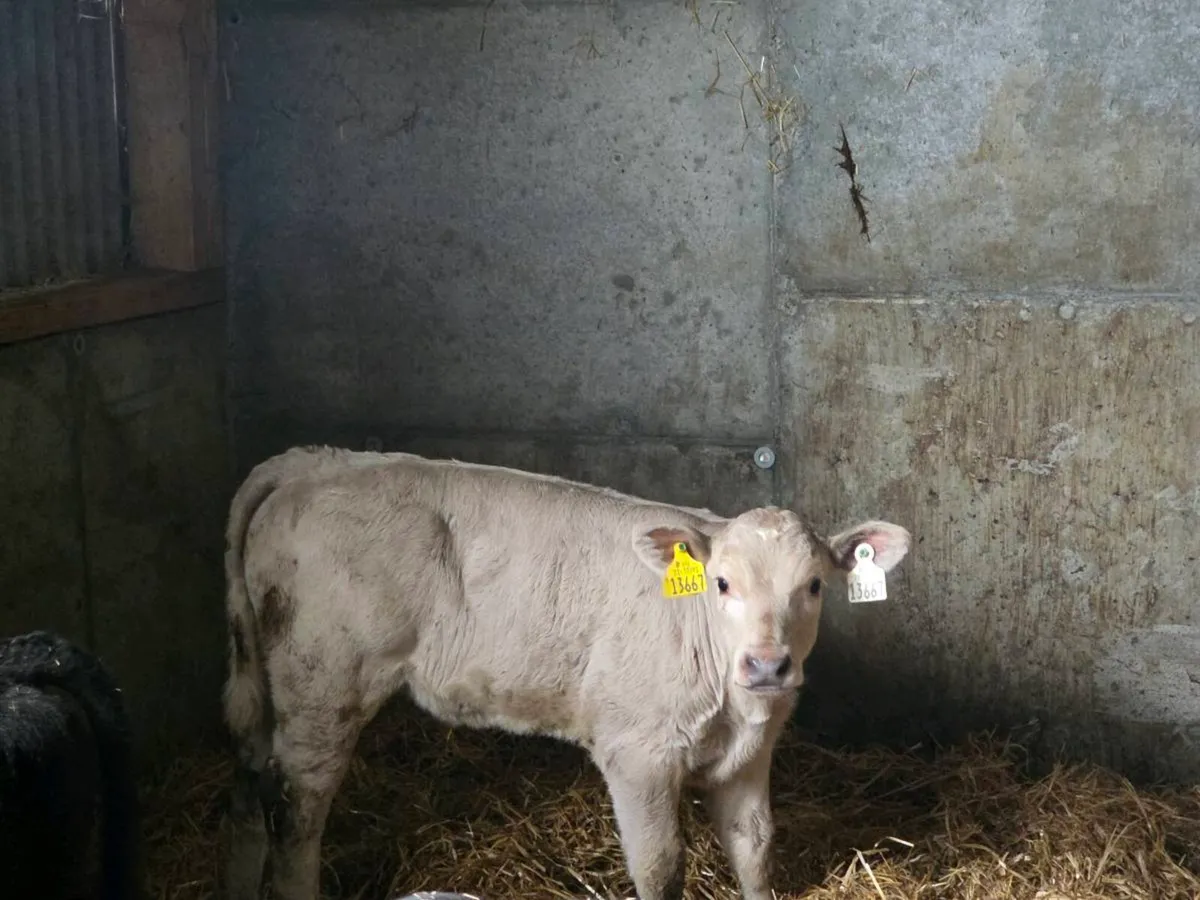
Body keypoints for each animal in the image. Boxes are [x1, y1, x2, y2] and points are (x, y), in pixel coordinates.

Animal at [222, 446, 911, 900]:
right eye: (721, 583)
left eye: (814, 585)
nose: (767, 664)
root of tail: (319, 463)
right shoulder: (636, 755)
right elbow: (661, 866)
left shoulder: (749, 756)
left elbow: (755, 849)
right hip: (322, 684)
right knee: (296, 806)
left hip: (269, 682)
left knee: (248, 788)